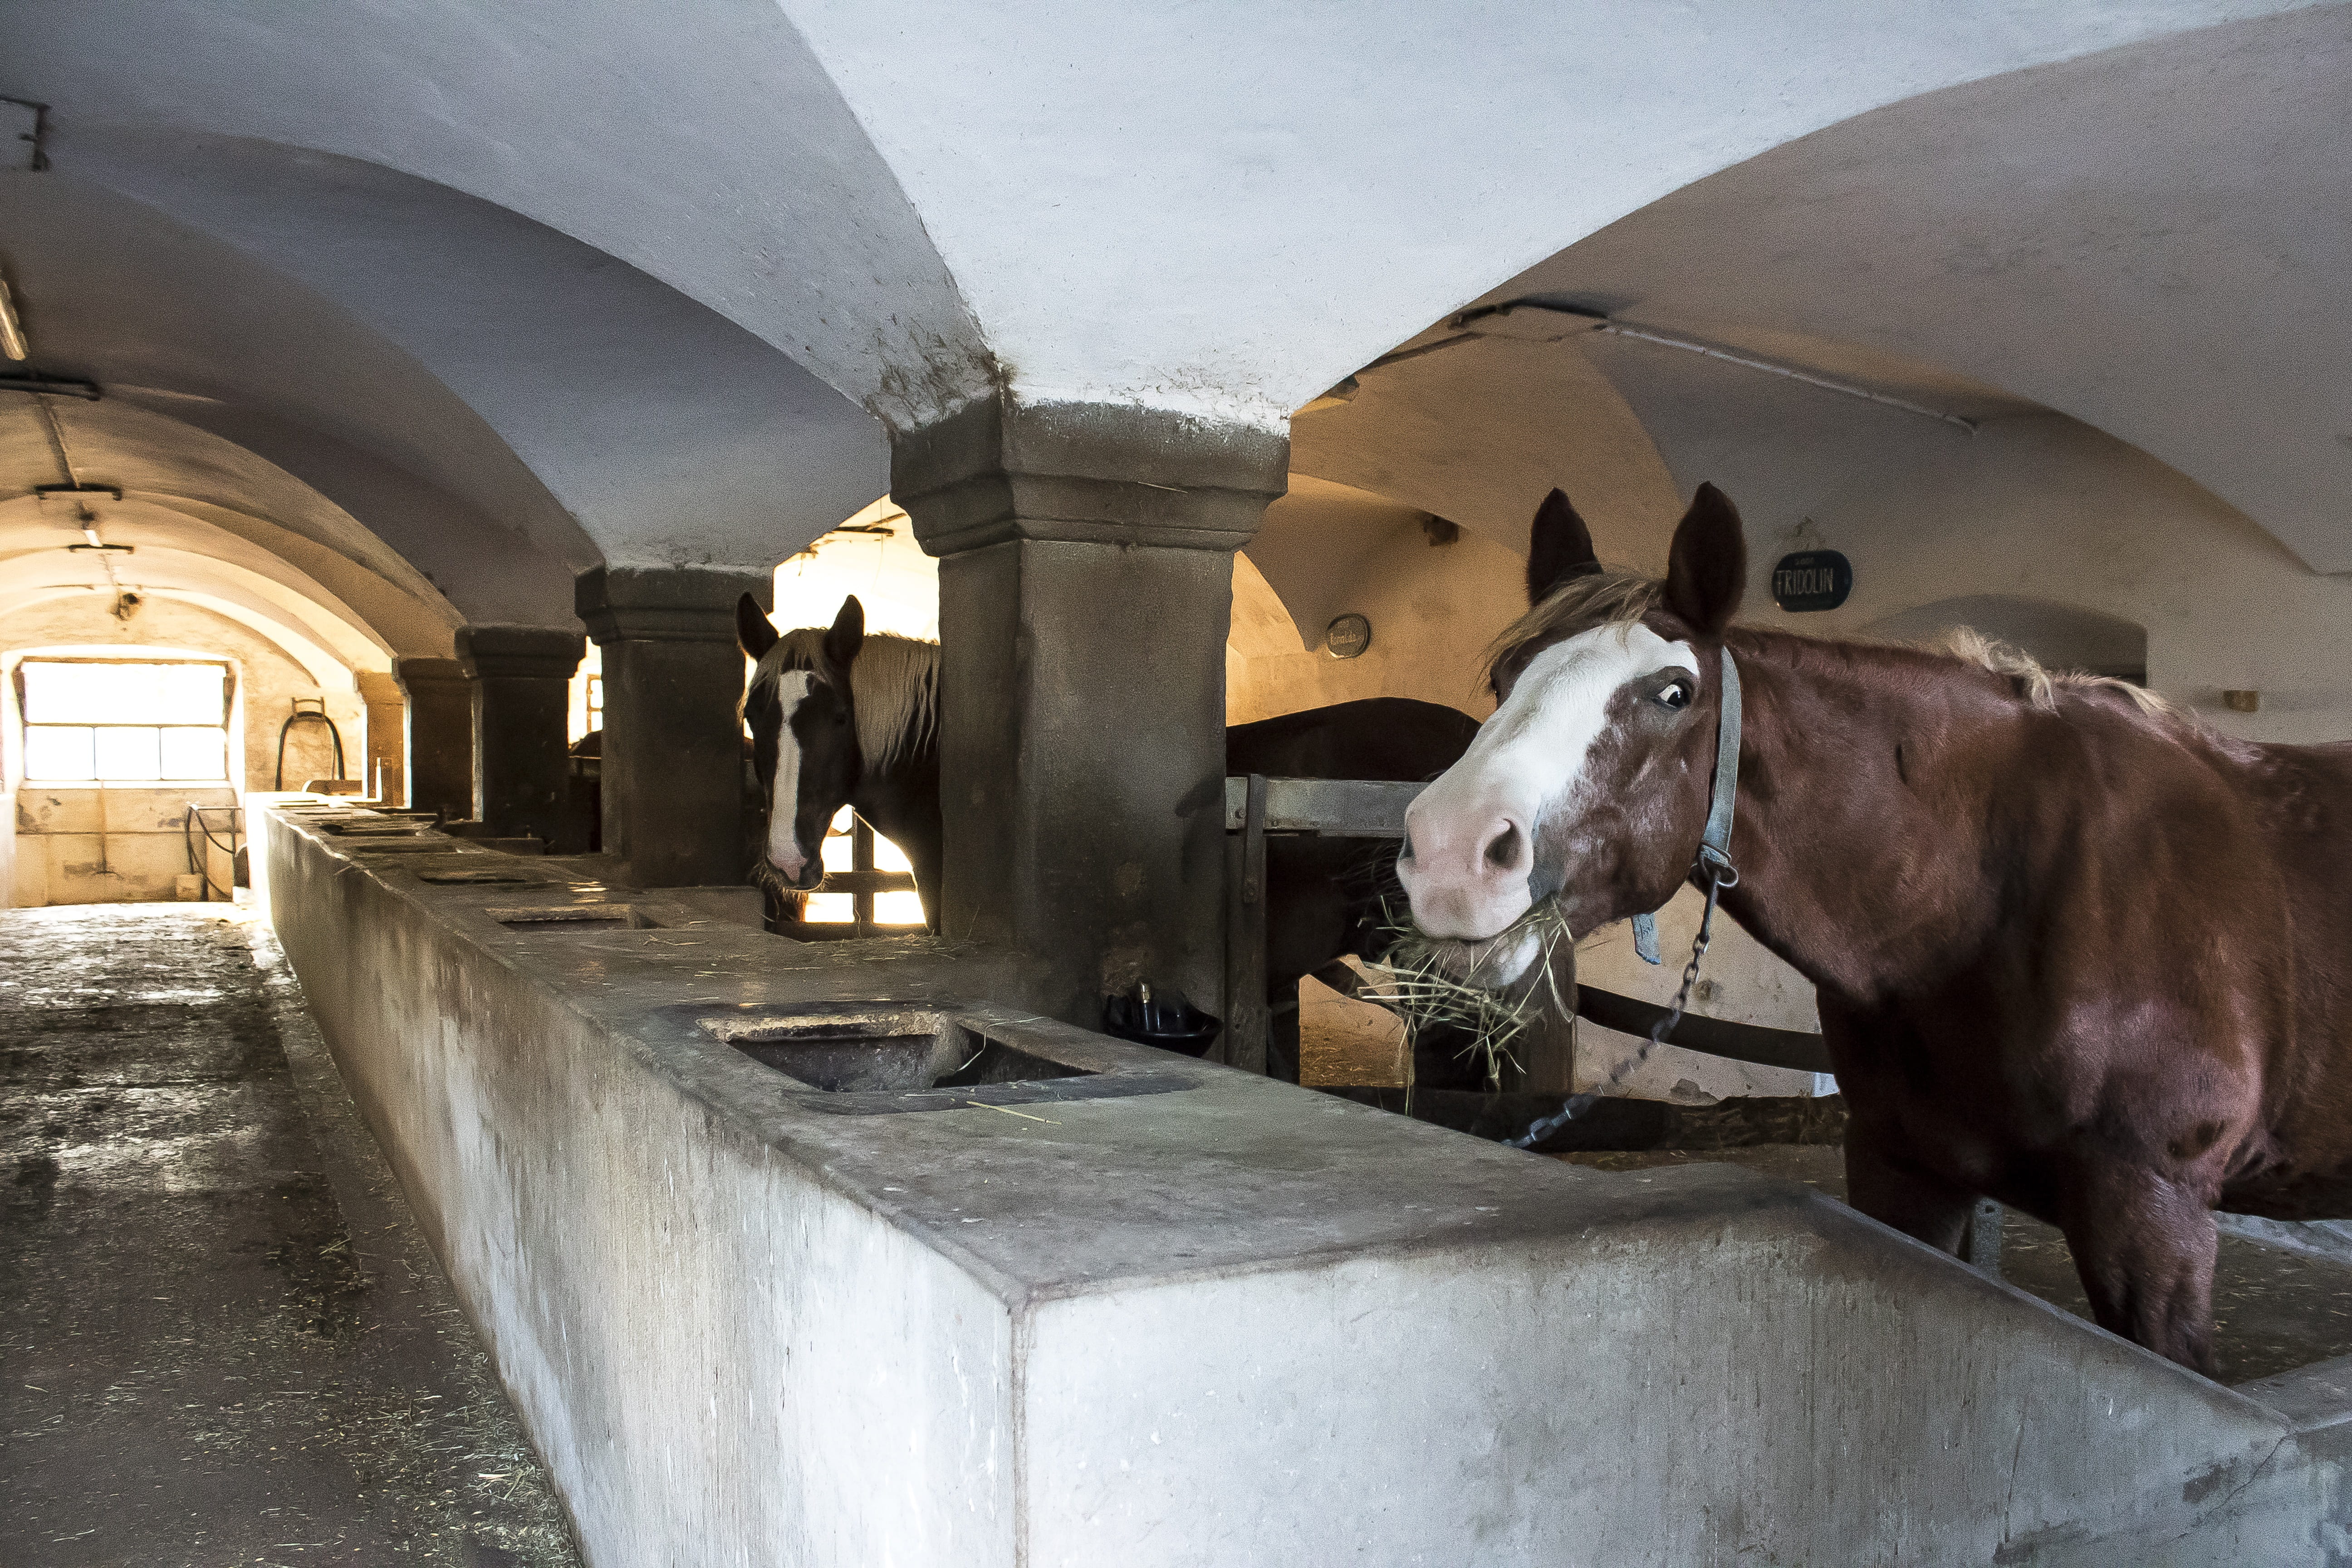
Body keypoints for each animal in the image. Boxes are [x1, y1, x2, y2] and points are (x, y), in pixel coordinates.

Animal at [1394, 482, 2352, 1373]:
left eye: (1672, 692)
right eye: (1504, 677)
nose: (1447, 855)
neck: (1997, 898)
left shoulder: (2152, 1220)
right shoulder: (1900, 1171)